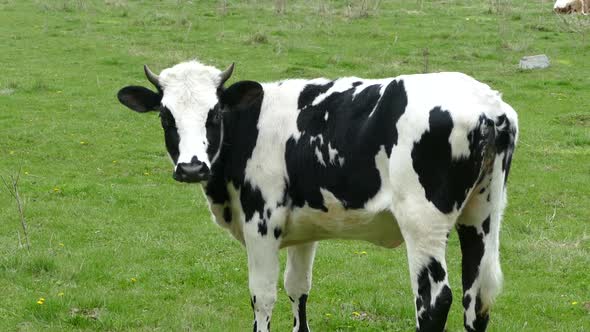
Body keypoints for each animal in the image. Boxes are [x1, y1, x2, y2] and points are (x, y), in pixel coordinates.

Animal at [118, 60, 520, 332]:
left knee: (434, 300)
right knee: (476, 298)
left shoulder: (261, 222)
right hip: (480, 216)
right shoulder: (304, 228)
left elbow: (262, 296)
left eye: (214, 114)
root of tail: (489, 106)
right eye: (165, 117)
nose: (191, 167)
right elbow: (298, 289)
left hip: (424, 223)